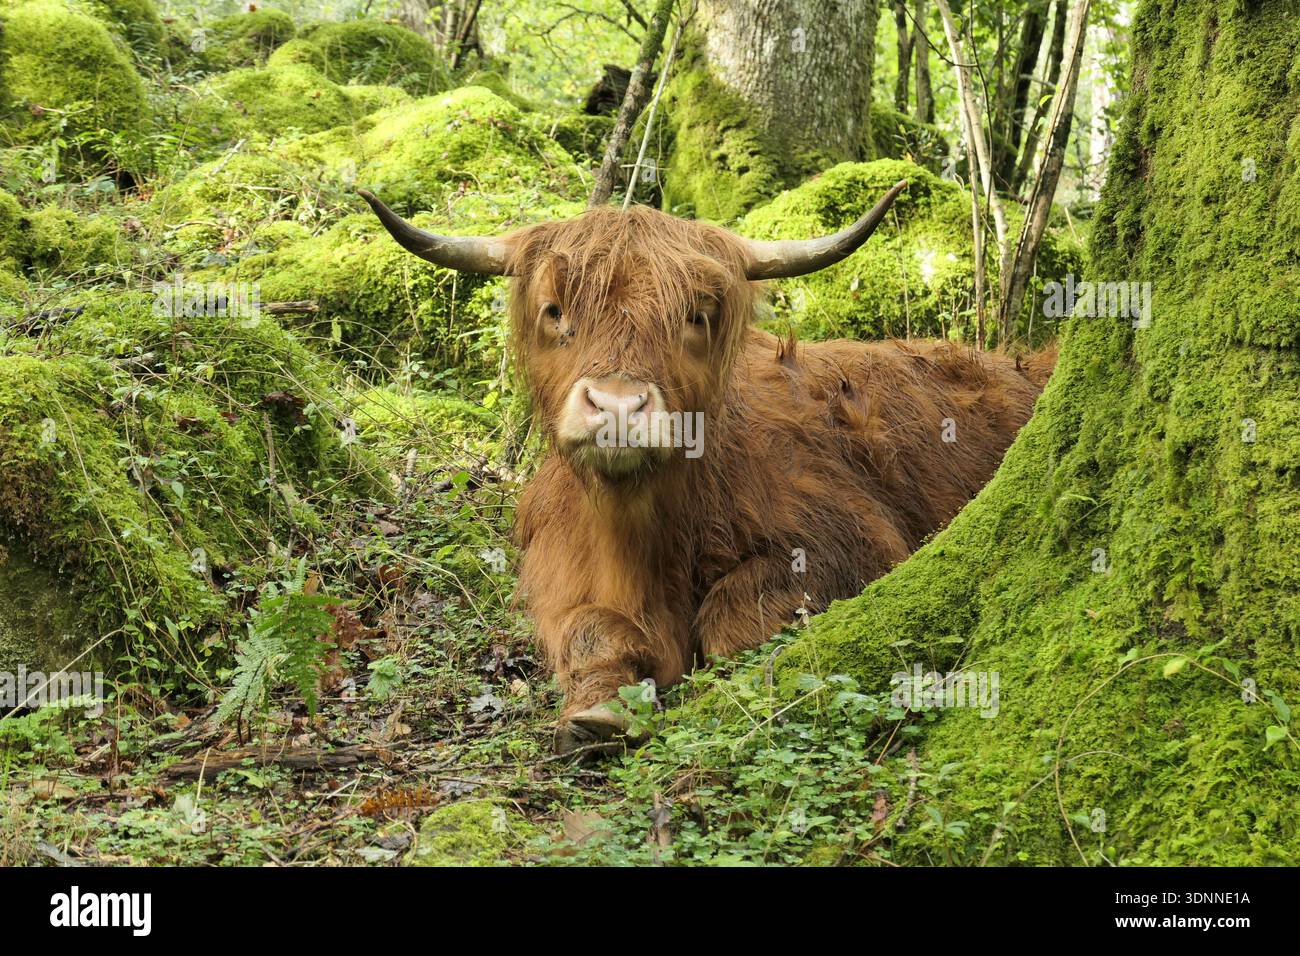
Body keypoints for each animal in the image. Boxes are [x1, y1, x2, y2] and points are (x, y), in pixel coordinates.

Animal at [359, 182, 1052, 753]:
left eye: (696, 315)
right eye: (556, 310)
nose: (617, 406)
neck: (639, 528)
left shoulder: (850, 539)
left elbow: (732, 614)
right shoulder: (555, 569)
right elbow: (590, 630)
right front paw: (598, 714)